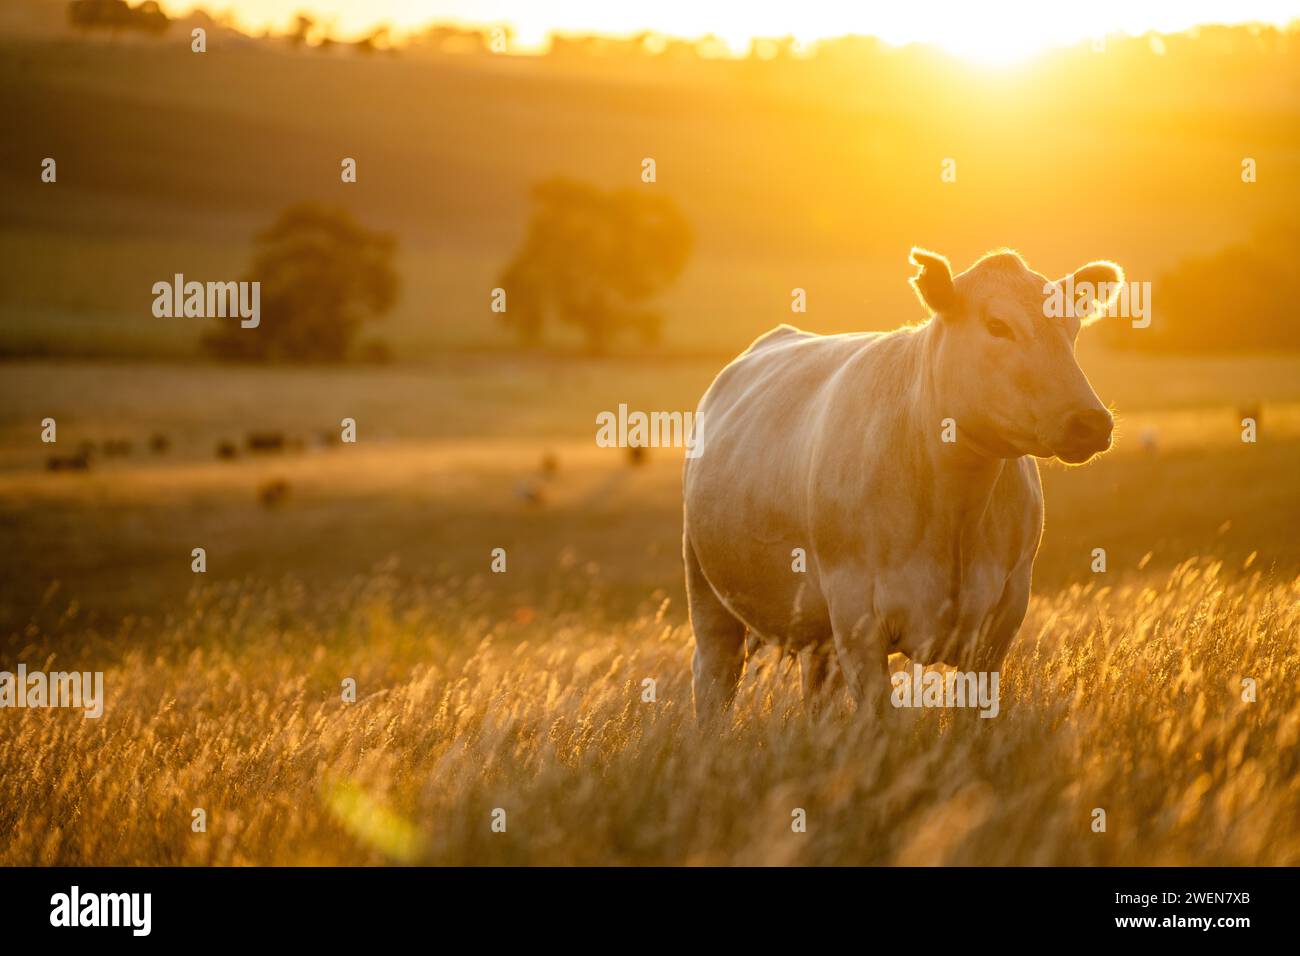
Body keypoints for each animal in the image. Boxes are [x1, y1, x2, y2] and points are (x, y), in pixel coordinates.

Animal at [686, 251, 1123, 723]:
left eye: (1072, 328)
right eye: (997, 325)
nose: (1090, 422)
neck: (954, 509)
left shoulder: (1002, 616)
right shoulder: (856, 618)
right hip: (707, 593)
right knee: (713, 679)